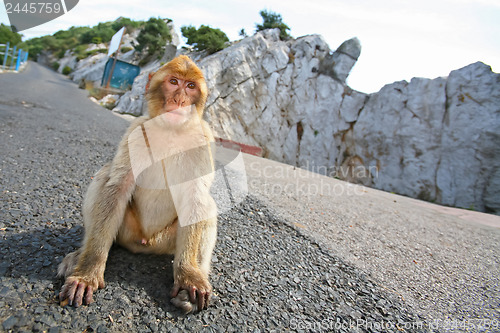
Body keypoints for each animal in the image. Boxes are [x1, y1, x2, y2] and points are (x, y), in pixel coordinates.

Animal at [57, 55, 217, 312]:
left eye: (191, 86)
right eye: (174, 82)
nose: (180, 99)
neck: (170, 131)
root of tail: (145, 243)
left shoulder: (204, 137)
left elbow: (195, 196)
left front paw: (188, 276)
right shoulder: (135, 129)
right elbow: (118, 186)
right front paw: (88, 272)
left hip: (165, 241)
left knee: (207, 203)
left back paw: (195, 279)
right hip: (126, 230)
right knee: (105, 177)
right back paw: (82, 255)